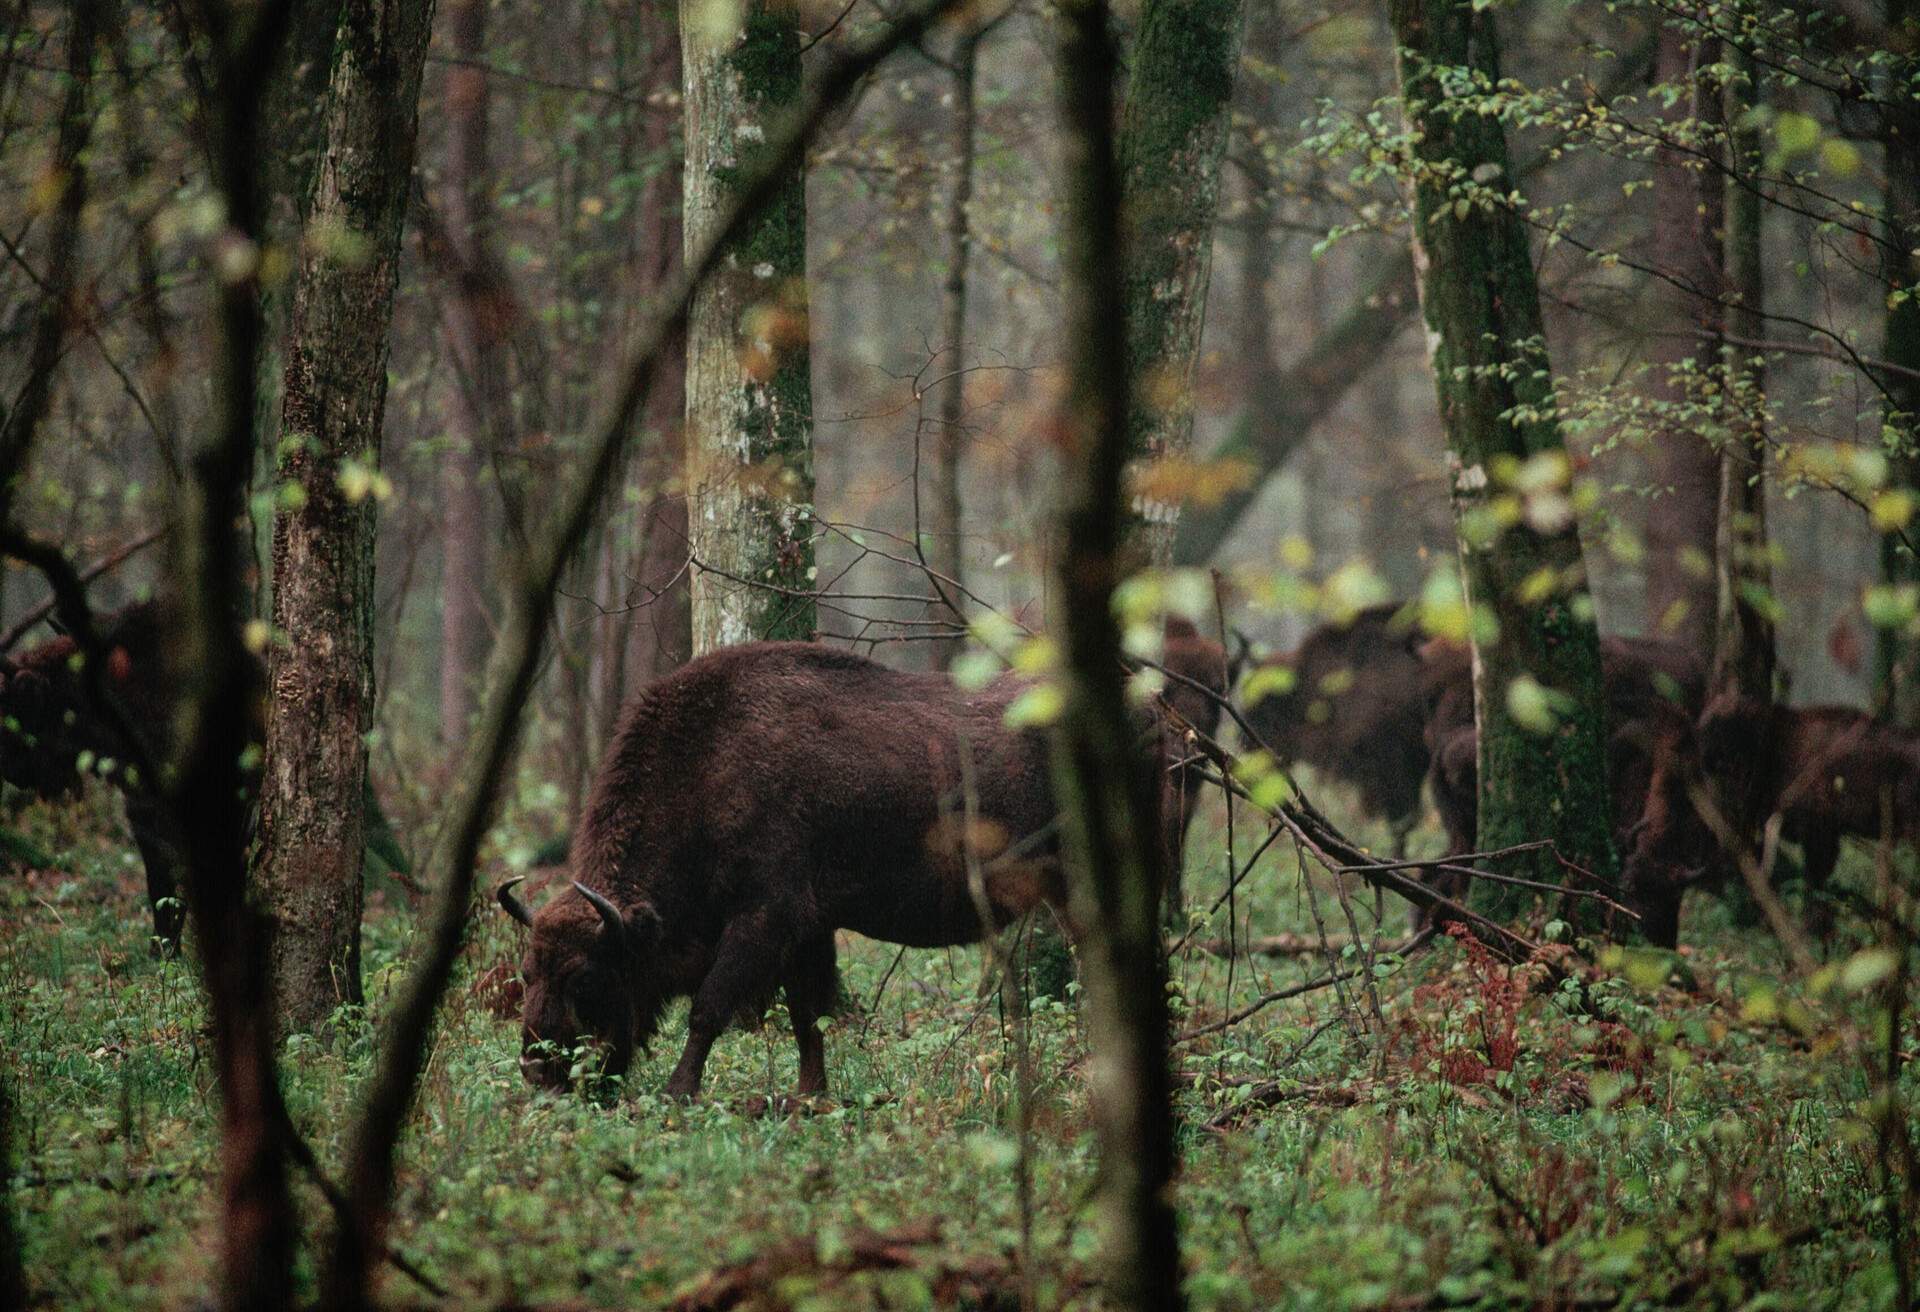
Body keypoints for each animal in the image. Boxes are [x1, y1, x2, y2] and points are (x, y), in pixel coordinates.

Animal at [503, 630, 1221, 1106]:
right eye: (528, 971)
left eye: (588, 975)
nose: (537, 1073)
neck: (709, 769)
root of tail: (1151, 714)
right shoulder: (806, 930)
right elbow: (808, 1017)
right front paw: (810, 1097)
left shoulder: (763, 919)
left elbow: (710, 1007)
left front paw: (680, 1092)